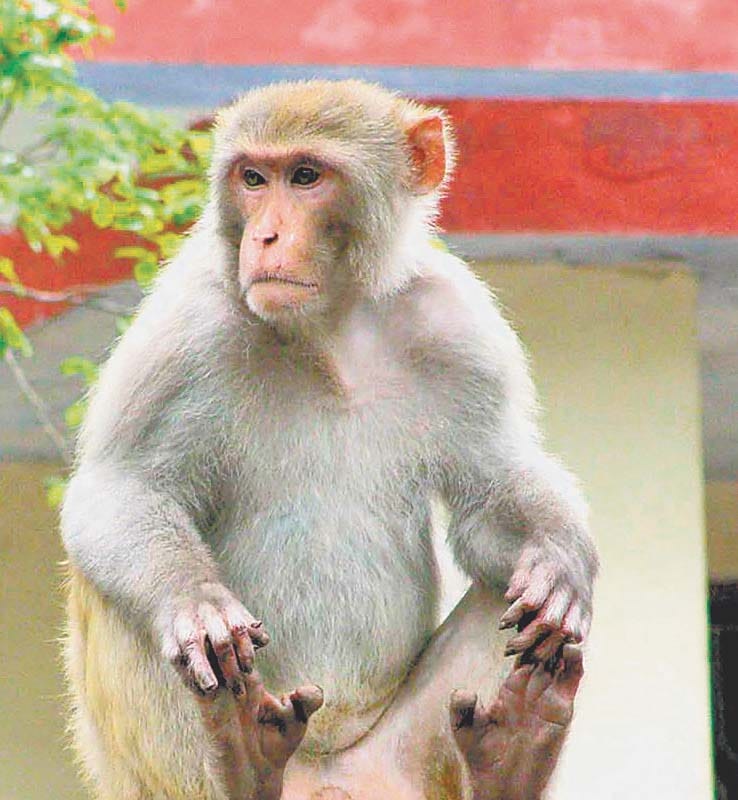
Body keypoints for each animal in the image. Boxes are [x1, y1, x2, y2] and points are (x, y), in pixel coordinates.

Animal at [60, 79, 598, 800]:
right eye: (253, 179)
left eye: (306, 177)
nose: (265, 234)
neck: (331, 327)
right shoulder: (185, 326)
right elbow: (120, 491)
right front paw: (195, 602)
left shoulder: (461, 329)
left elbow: (492, 506)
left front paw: (559, 559)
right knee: (114, 585)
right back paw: (243, 755)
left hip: (397, 766)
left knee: (506, 594)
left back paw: (512, 753)